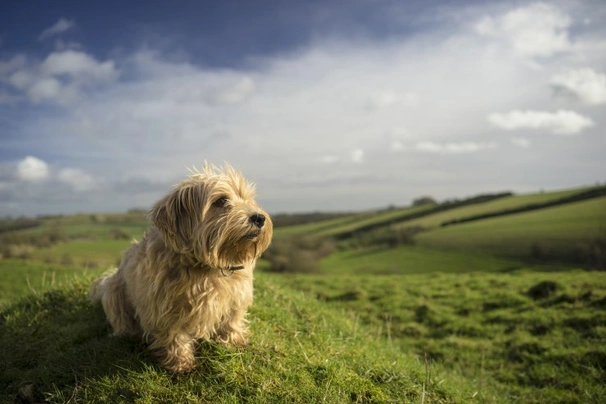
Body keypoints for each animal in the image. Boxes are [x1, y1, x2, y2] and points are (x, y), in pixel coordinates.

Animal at [89, 163, 274, 372]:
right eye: (221, 201)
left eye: (248, 199)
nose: (259, 218)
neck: (206, 267)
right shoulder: (165, 307)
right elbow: (174, 334)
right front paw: (180, 363)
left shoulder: (236, 297)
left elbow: (231, 320)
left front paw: (234, 342)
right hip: (114, 292)